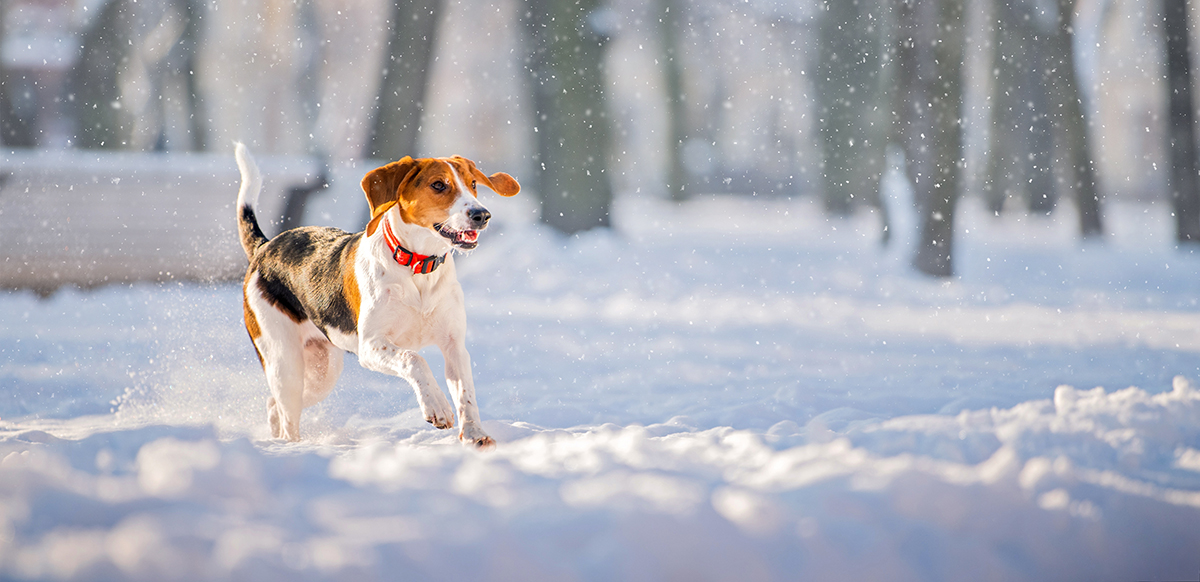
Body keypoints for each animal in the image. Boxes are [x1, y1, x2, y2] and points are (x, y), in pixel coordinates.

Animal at [232, 144, 516, 444]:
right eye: (438, 185)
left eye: (472, 184)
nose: (482, 215)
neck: (418, 266)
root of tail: (265, 247)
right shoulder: (370, 346)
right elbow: (414, 359)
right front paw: (437, 406)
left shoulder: (454, 346)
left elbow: (466, 395)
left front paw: (475, 435)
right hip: (284, 361)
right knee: (287, 414)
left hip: (323, 372)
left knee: (274, 405)